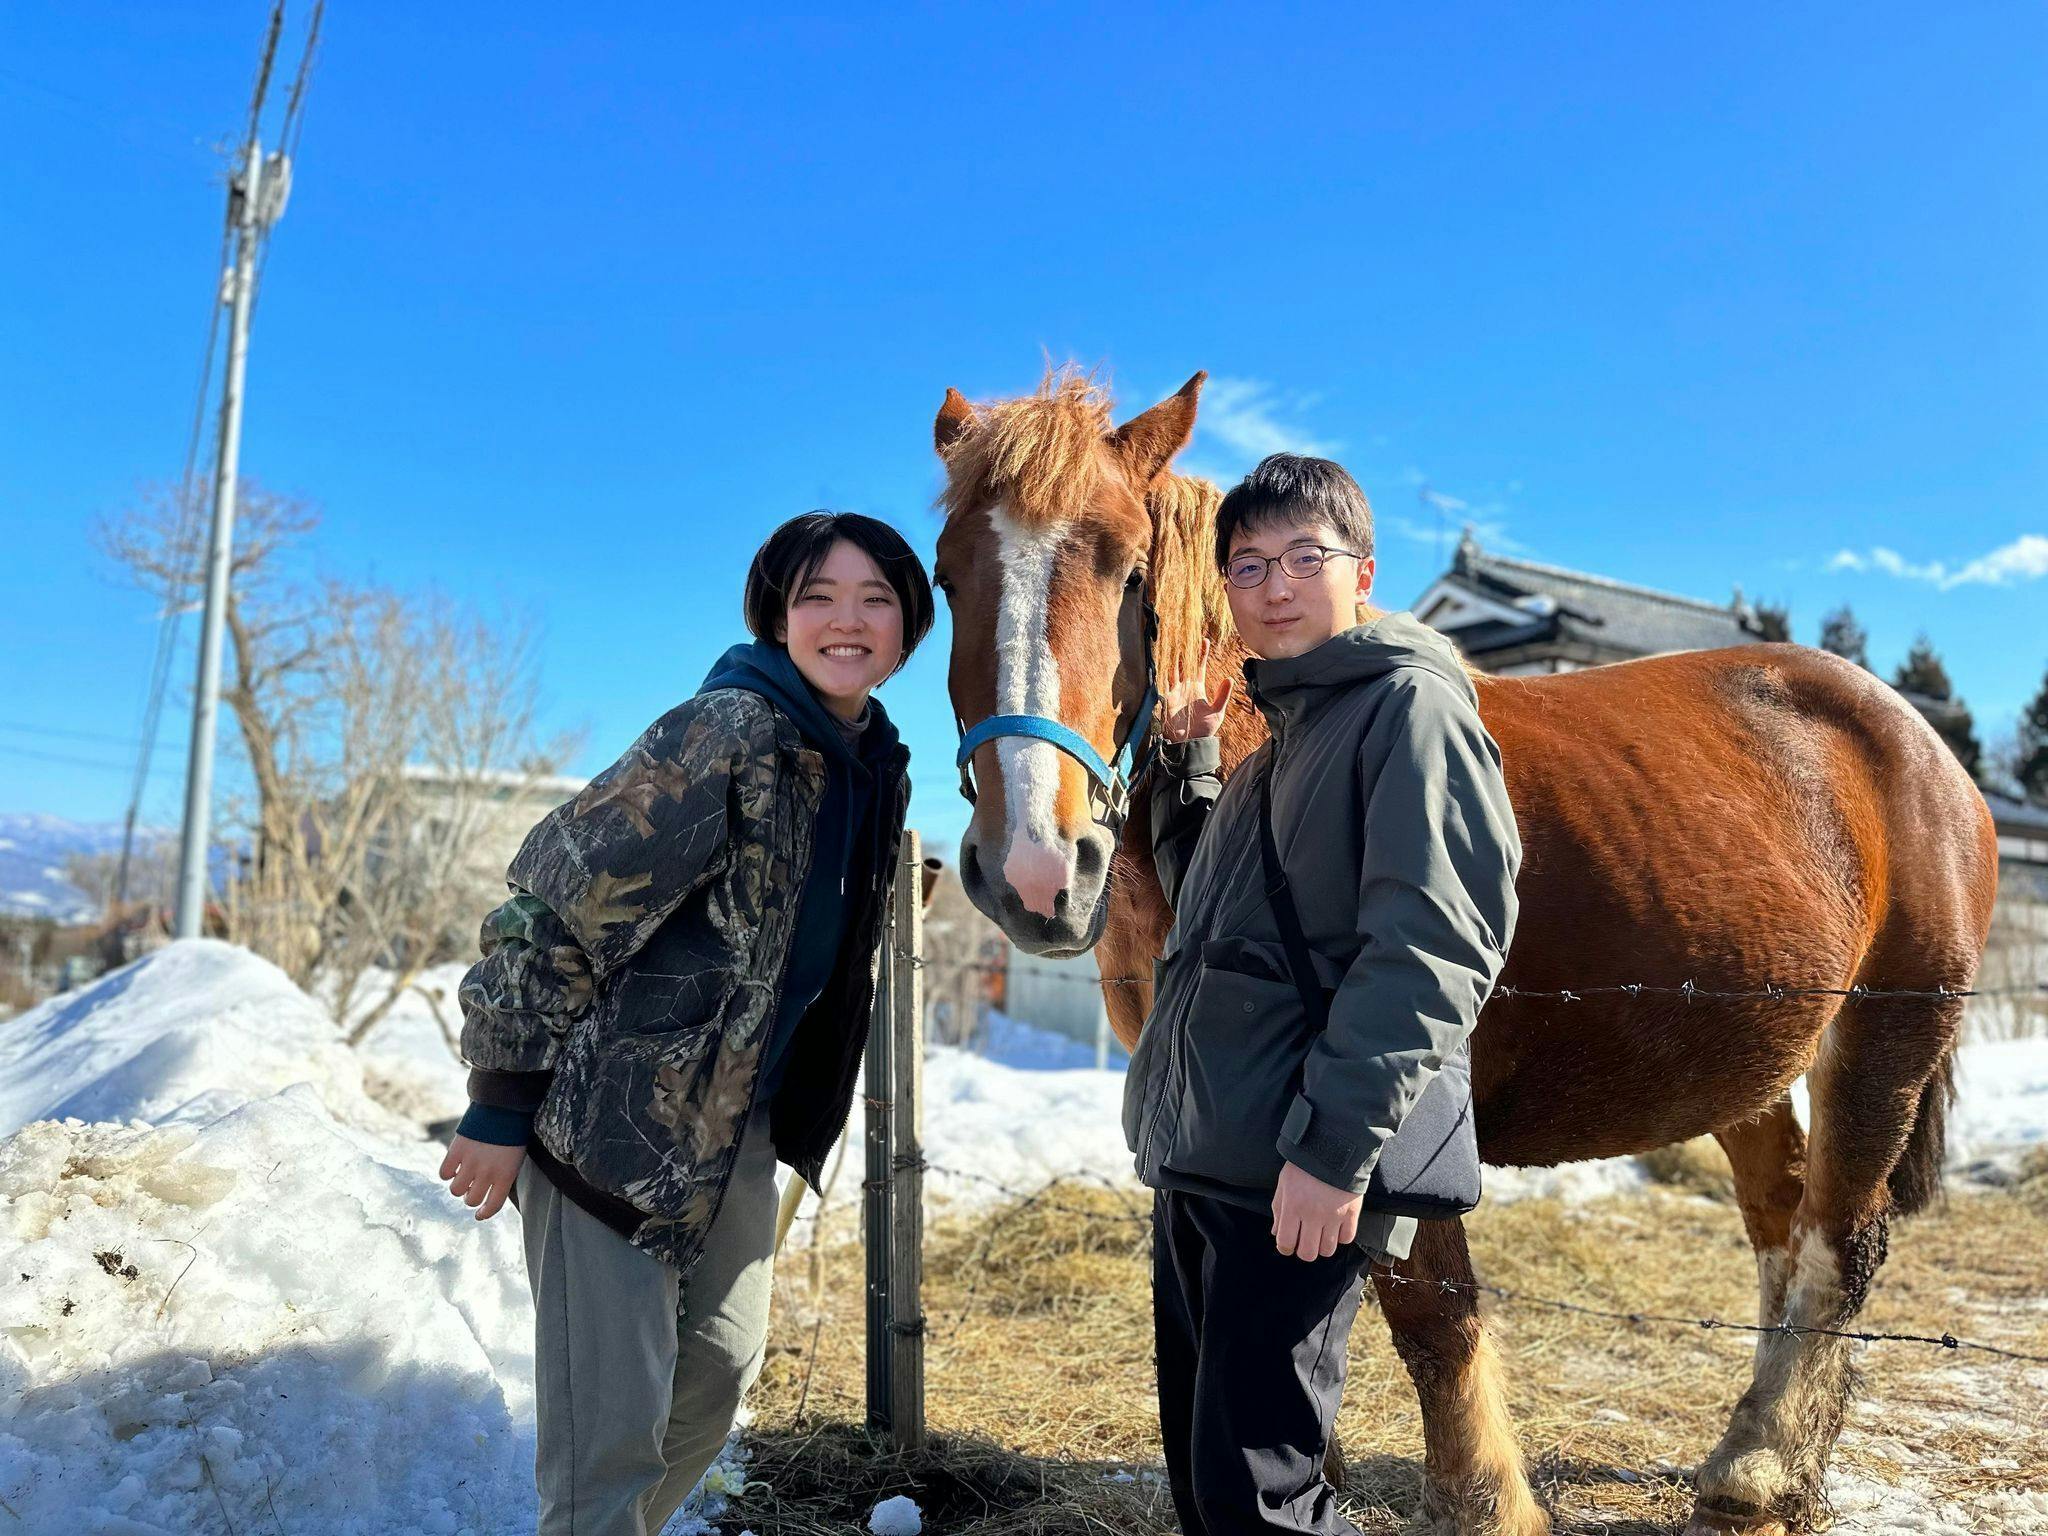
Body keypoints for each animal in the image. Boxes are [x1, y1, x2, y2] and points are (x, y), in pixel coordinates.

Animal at [929, 369, 1999, 1536]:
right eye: (944, 577)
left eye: (1128, 568)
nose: (1034, 864)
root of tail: (1915, 739)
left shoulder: (1396, 1106)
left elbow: (1432, 1311)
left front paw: (1484, 1502)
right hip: (1744, 1051)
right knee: (1781, 1219)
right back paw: (1768, 1454)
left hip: (1887, 1033)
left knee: (1839, 1237)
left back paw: (1758, 1469)